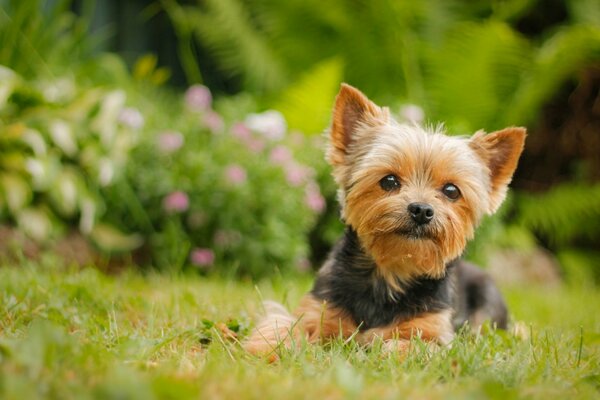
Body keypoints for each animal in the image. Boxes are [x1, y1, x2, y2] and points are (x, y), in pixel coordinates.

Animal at [244, 83, 524, 356]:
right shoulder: (318, 308)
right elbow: (284, 323)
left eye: (451, 191)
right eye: (389, 181)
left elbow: (411, 344)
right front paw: (268, 347)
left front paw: (384, 344)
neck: (391, 271)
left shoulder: (435, 331)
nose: (421, 210)